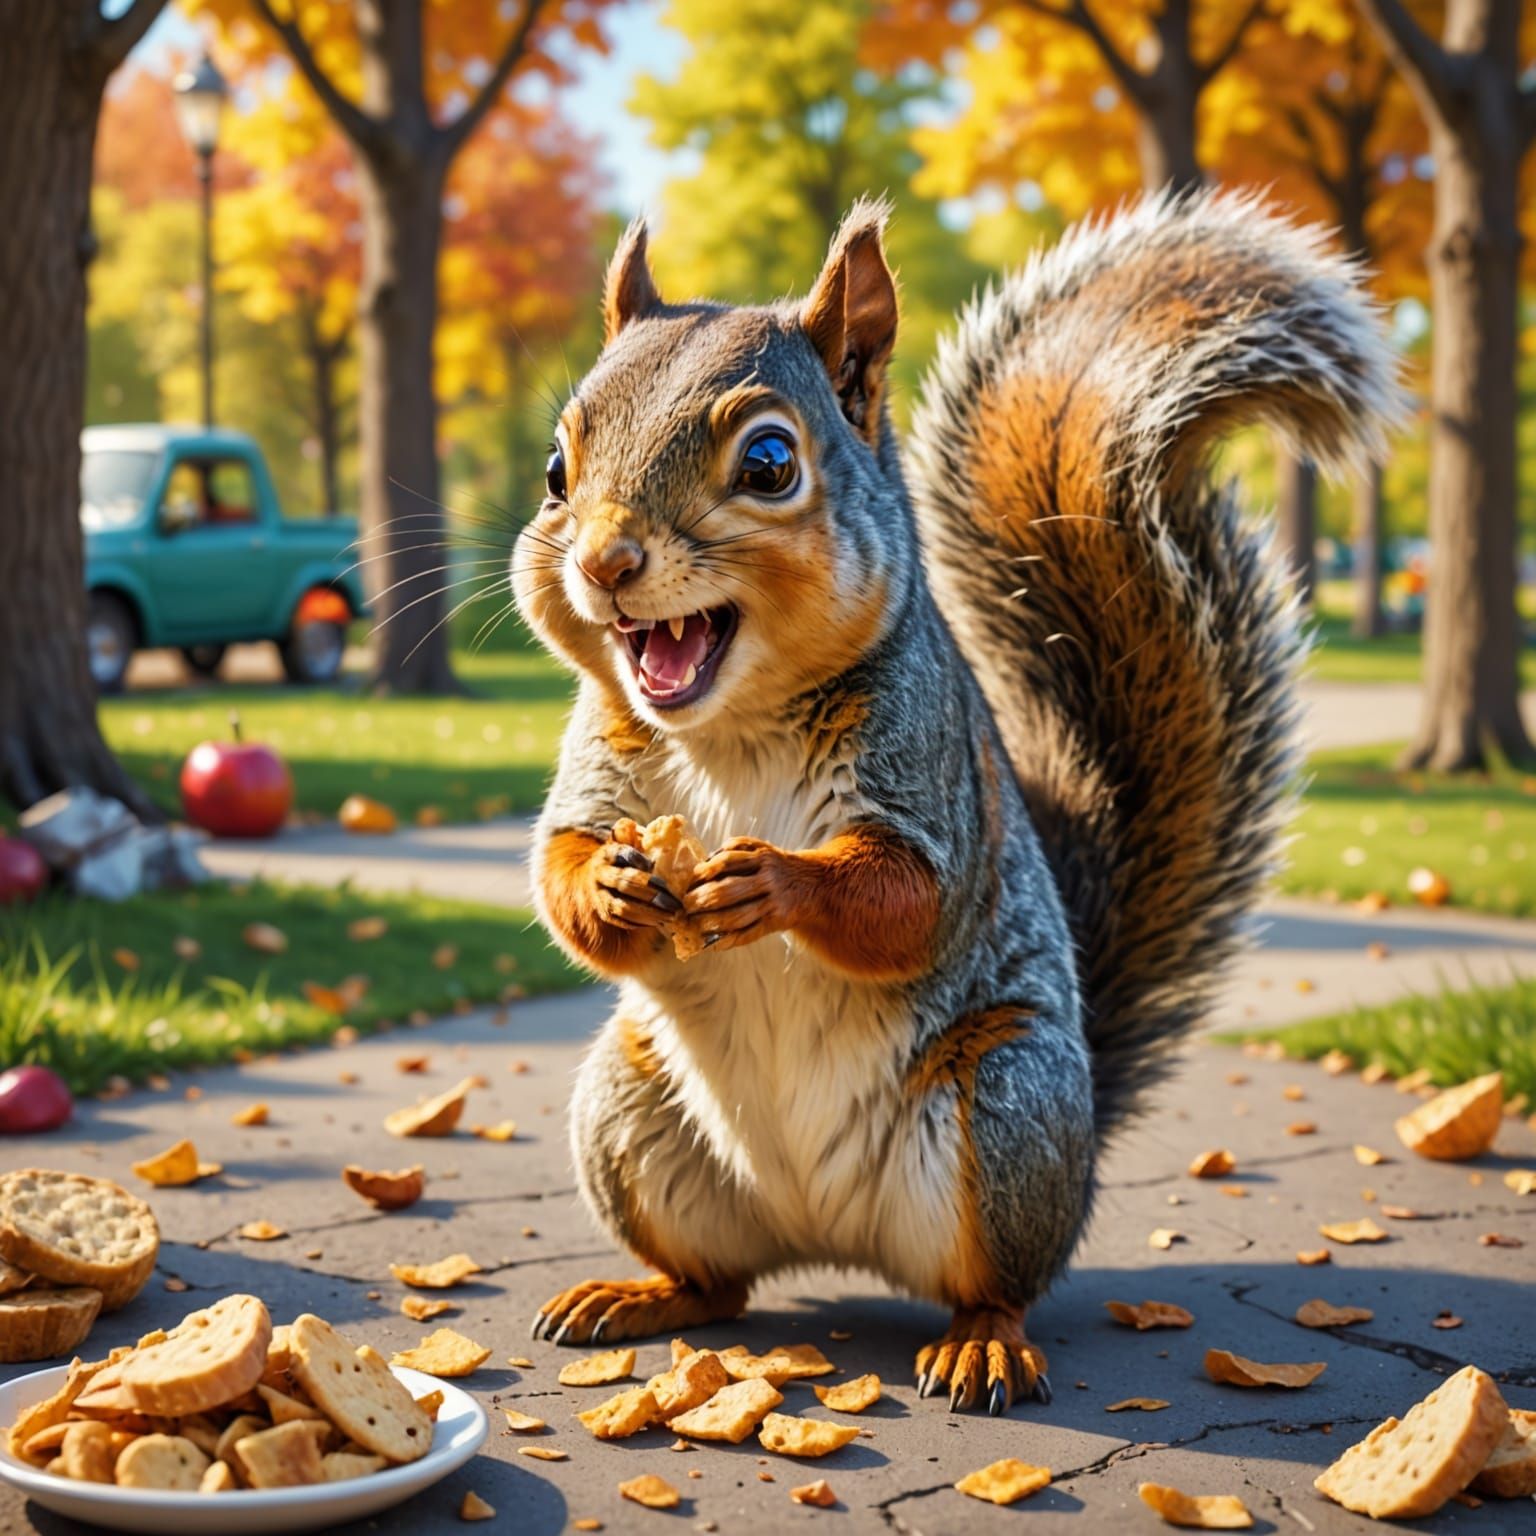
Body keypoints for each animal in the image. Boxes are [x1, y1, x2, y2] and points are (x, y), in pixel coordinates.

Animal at [513, 190, 1398, 1414]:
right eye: (557, 467)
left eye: (771, 462)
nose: (604, 562)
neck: (731, 729)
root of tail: (825, 1238)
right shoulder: (600, 759)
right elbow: (560, 873)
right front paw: (611, 882)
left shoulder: (930, 773)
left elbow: (907, 903)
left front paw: (770, 880)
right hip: (628, 1105)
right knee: (717, 1285)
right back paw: (636, 1295)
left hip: (1006, 1109)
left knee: (996, 1283)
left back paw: (982, 1342)